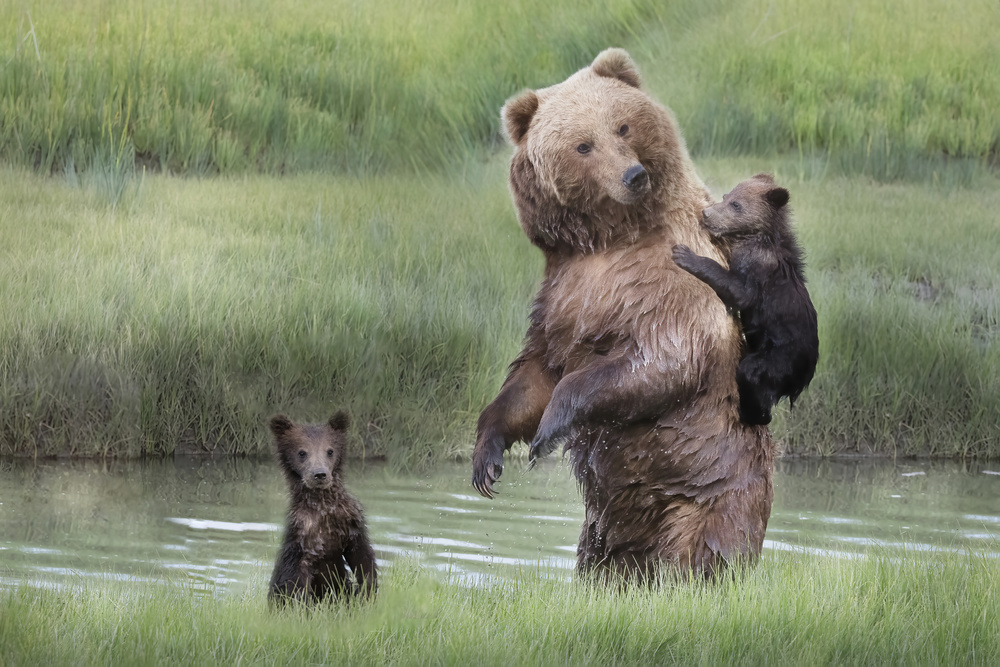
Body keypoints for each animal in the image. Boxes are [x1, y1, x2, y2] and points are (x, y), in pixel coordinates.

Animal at [472, 48, 776, 580]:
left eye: (623, 126)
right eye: (582, 145)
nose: (633, 176)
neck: (609, 239)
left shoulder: (670, 279)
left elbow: (662, 357)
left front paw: (549, 430)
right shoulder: (562, 296)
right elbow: (536, 372)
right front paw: (487, 457)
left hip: (710, 487)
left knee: (702, 549)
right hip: (606, 526)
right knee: (604, 557)